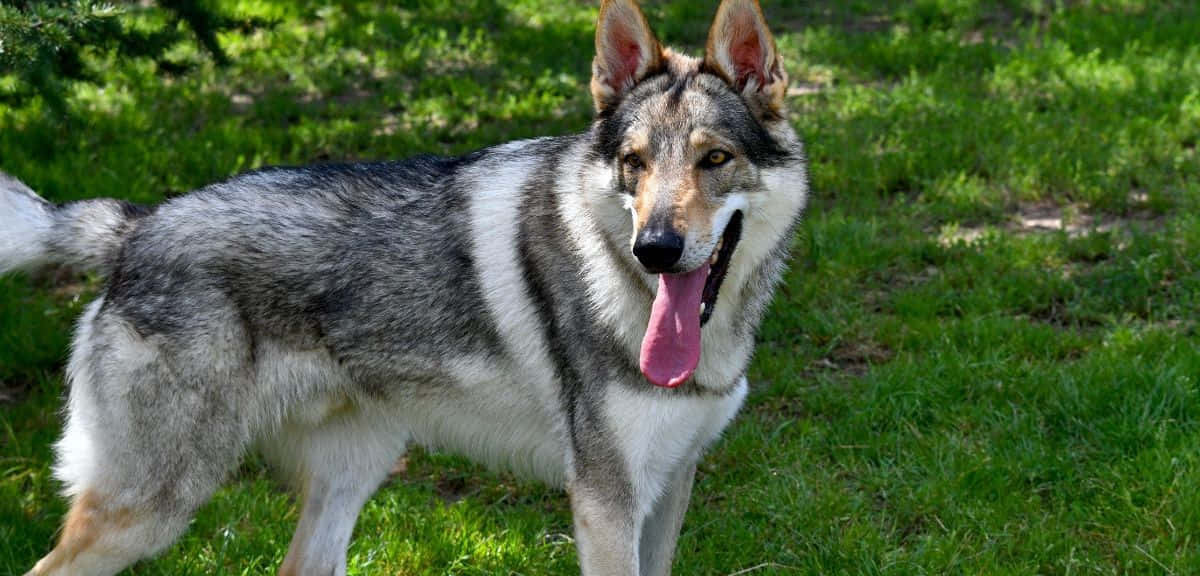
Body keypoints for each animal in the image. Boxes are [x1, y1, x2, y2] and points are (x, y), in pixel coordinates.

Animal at [2, 2, 806, 573]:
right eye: (634, 165)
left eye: (714, 159)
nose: (656, 250)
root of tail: (135, 224)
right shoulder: (605, 504)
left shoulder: (669, 487)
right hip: (151, 507)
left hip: (353, 472)